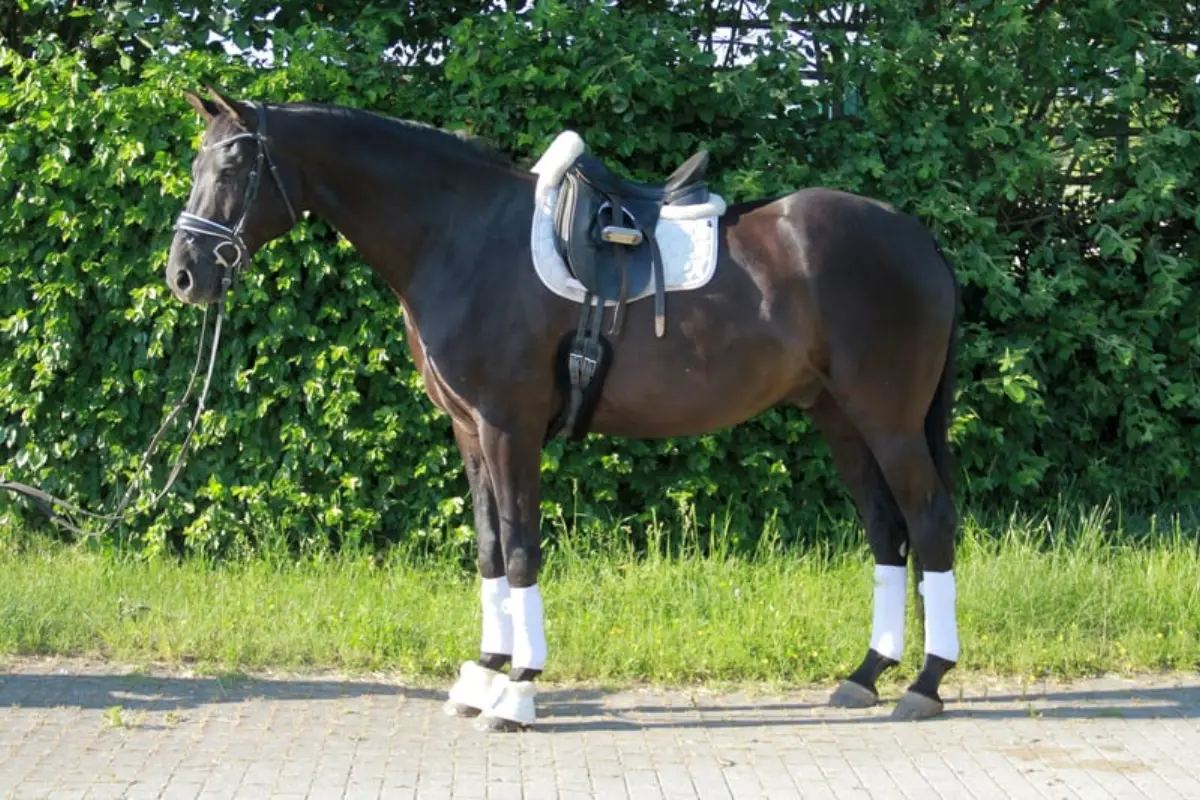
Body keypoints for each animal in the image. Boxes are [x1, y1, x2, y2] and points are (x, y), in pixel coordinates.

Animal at [166, 87, 962, 732]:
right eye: (197, 164)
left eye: (233, 168)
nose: (184, 275)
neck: (457, 235)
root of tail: (917, 237)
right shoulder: (468, 430)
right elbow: (490, 548)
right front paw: (482, 676)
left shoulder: (508, 427)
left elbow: (521, 550)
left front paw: (518, 690)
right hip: (839, 418)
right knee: (886, 531)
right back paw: (865, 674)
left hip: (888, 420)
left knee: (927, 523)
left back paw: (924, 683)